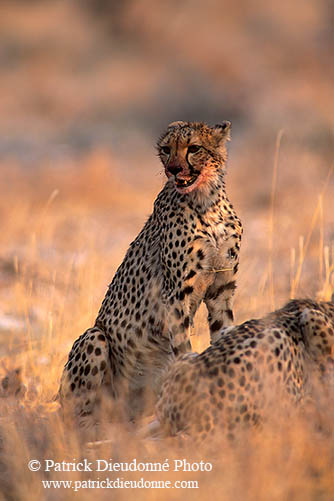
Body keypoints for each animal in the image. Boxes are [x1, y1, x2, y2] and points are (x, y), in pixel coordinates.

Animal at [58, 120, 243, 422]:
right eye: (166, 149)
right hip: (94, 338)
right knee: (77, 415)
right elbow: (183, 349)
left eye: (194, 148)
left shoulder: (221, 289)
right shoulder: (176, 294)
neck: (205, 200)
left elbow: (224, 332)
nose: (174, 169)